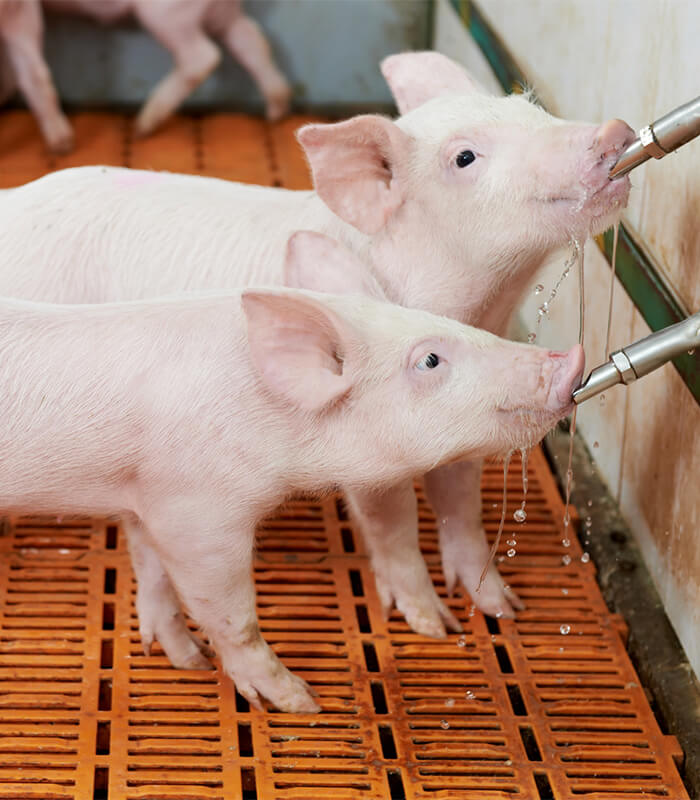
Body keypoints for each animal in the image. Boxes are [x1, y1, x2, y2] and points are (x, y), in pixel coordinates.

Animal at [0, 51, 634, 648]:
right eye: (464, 158)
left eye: (530, 107)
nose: (614, 131)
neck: (481, 302)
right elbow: (393, 519)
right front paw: (433, 626)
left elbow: (460, 496)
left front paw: (503, 609)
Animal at [0, 232, 585, 711]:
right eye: (431, 360)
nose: (570, 357)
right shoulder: (196, 512)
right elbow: (231, 614)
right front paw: (300, 702)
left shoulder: (144, 494)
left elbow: (153, 574)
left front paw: (186, 660)